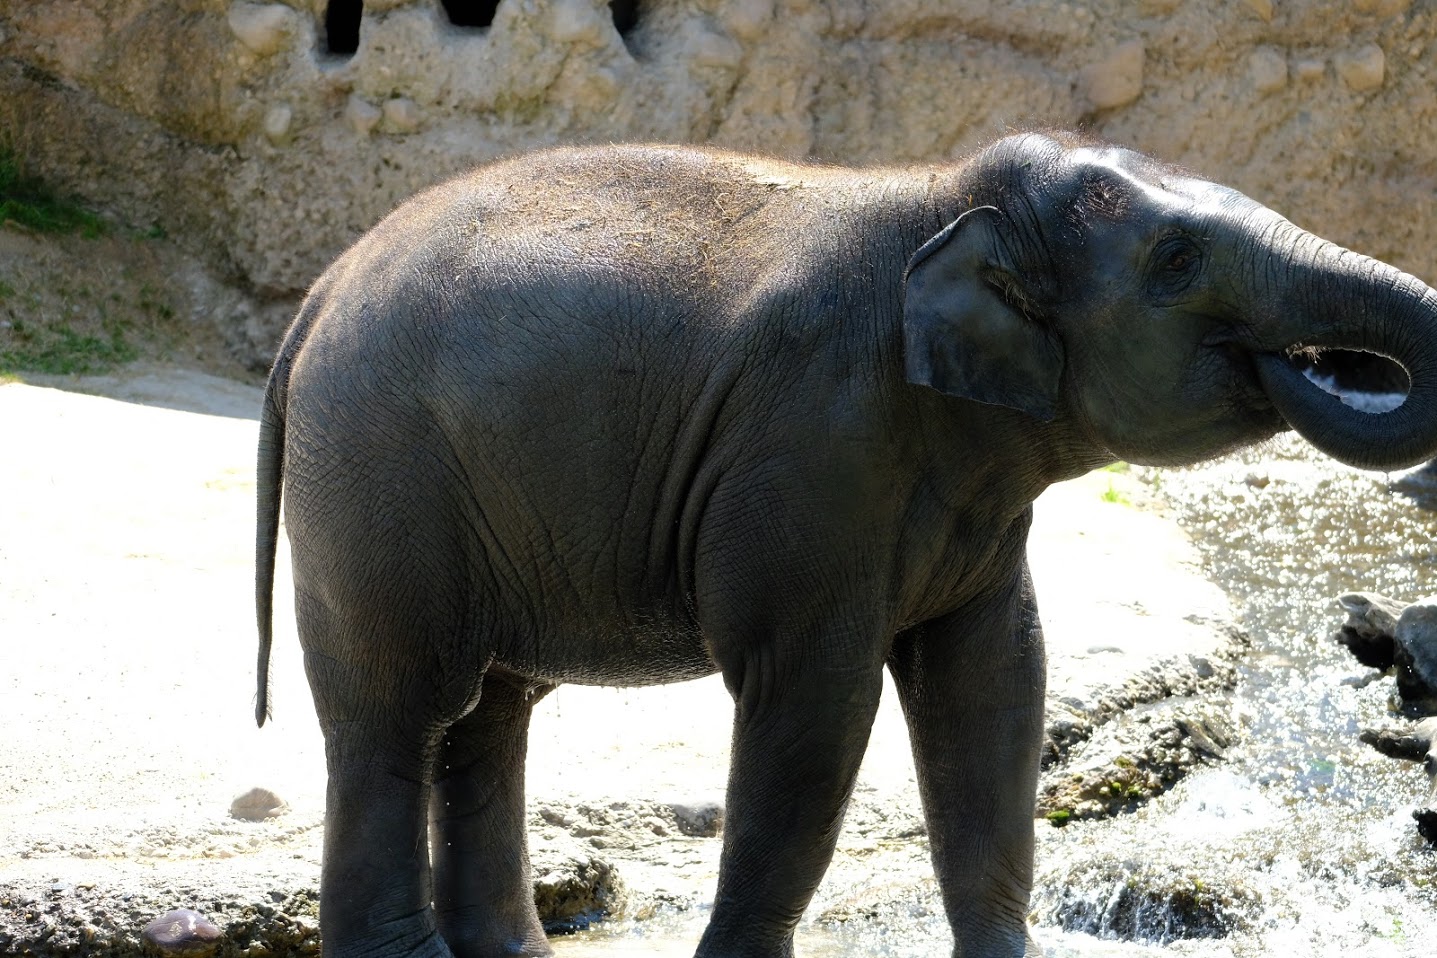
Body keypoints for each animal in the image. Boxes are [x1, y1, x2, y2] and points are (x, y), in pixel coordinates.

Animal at [254, 131, 1437, 958]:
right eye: (1177, 258)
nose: (1323, 359)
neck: (943, 192)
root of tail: (319, 295)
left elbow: (994, 686)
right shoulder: (813, 447)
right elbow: (815, 708)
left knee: (489, 715)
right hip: (380, 480)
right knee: (397, 712)